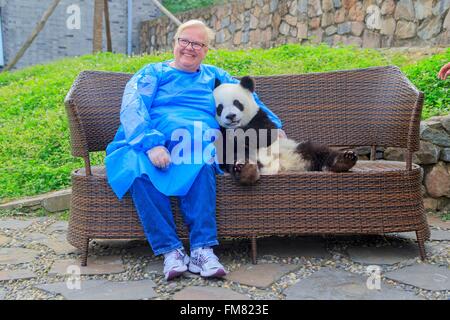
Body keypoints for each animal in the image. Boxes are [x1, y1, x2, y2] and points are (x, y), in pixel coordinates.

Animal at [213, 75, 356, 185]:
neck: (237, 126)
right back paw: (245, 169)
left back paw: (344, 160)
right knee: (239, 157)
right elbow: (223, 149)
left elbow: (266, 133)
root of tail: (283, 166)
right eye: (220, 108)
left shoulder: (260, 116)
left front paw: (239, 136)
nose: (231, 116)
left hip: (296, 147)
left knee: (320, 151)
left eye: (237, 103)